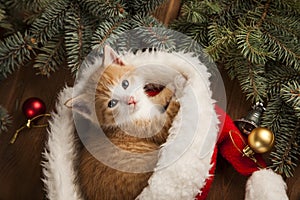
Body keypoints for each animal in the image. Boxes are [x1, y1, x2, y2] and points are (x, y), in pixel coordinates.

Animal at [67, 45, 186, 200]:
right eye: (112, 103)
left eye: (125, 83)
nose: (131, 100)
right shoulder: (154, 128)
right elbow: (170, 113)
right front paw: (180, 87)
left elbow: (158, 99)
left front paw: (171, 85)